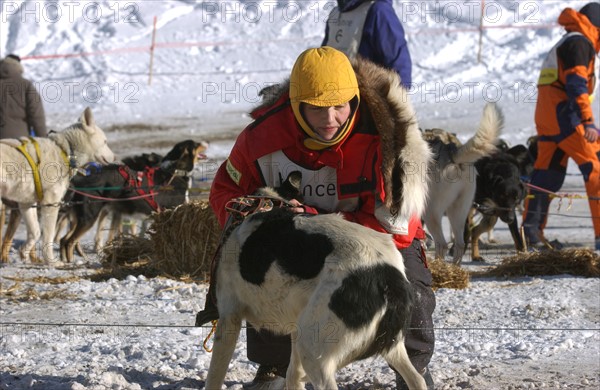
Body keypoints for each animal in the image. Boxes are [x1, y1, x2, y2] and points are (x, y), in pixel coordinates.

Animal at [0, 108, 115, 264]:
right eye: (105, 141)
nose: (114, 157)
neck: (66, 151)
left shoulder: (26, 203)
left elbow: (35, 232)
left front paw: (24, 252)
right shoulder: (51, 204)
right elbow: (48, 236)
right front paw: (51, 261)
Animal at [206, 172, 426, 390]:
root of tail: (390, 277)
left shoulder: (229, 318)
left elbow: (214, 376)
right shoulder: (295, 328)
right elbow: (293, 376)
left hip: (313, 351)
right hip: (389, 347)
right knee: (417, 379)